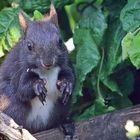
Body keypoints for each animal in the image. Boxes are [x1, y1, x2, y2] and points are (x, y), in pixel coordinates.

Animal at [0, 2, 75, 136]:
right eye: (29, 46)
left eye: (60, 41)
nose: (48, 63)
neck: (46, 72)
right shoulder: (18, 71)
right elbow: (22, 89)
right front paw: (37, 85)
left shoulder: (66, 64)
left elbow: (70, 76)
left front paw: (66, 85)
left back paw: (65, 124)